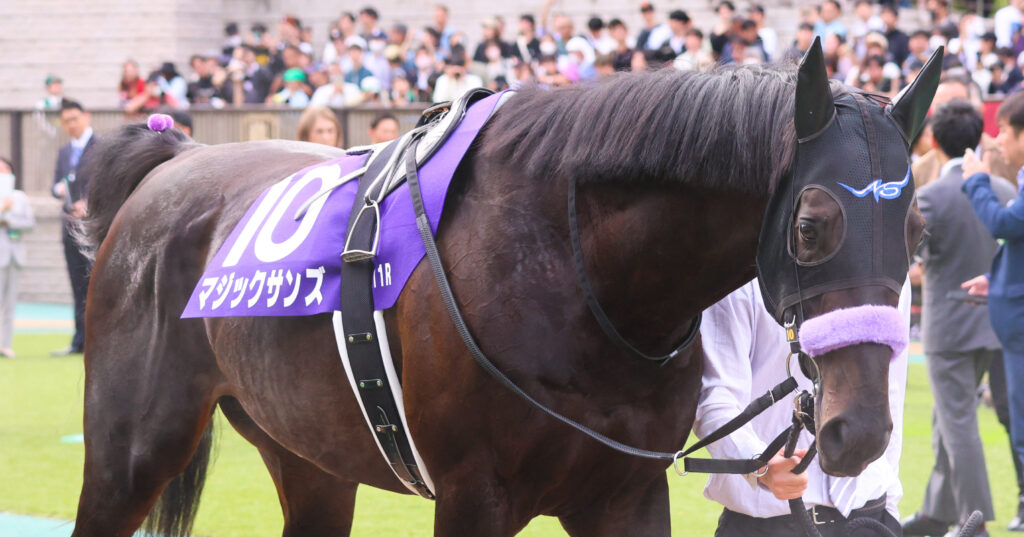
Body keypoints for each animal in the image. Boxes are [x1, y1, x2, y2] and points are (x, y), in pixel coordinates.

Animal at [71, 43, 936, 537]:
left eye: (916, 229)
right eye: (812, 224)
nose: (860, 429)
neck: (574, 275)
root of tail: (173, 163)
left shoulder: (624, 494)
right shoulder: (472, 493)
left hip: (309, 454)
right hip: (127, 452)